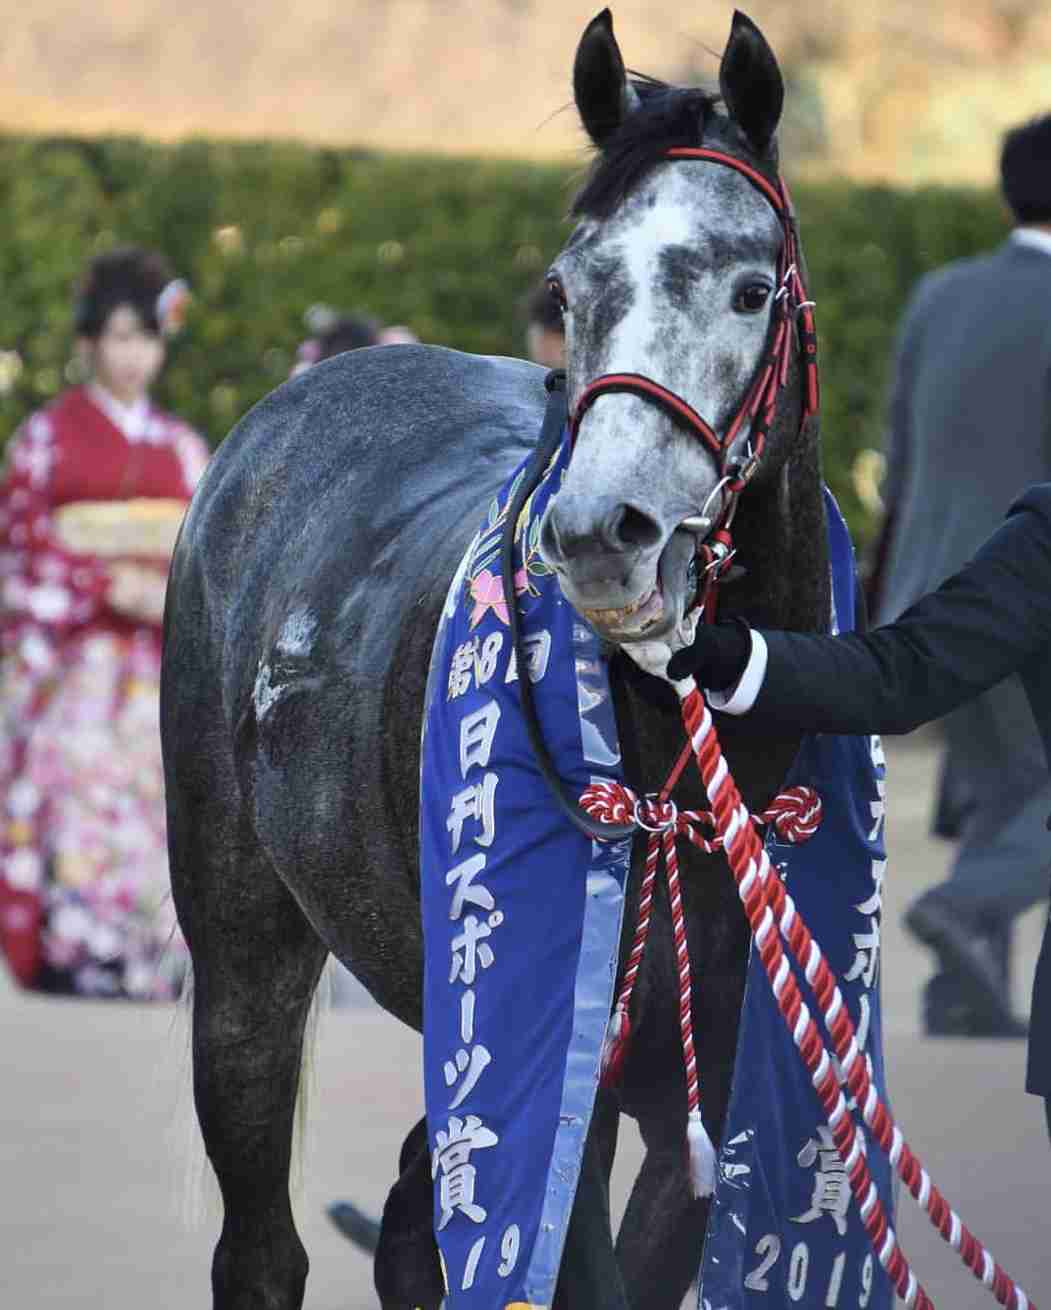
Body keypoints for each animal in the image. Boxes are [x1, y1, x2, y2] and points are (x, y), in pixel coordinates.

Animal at [161, 9, 832, 1307]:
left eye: (748, 288)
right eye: (569, 288)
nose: (606, 532)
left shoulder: (698, 1086)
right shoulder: (551, 1061)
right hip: (241, 934)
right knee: (262, 1235)